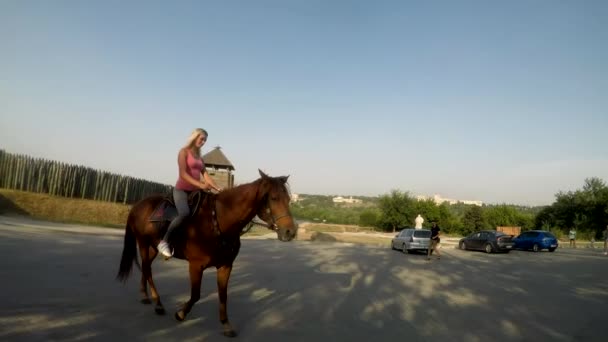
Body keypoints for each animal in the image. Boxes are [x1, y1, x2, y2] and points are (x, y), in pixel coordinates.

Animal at [116, 170, 296, 336]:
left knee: (146, 268)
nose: (290, 232)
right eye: (273, 198)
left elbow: (223, 295)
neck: (219, 221)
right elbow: (196, 294)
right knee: (147, 269)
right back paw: (158, 303)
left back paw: (145, 296)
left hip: (153, 247)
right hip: (143, 243)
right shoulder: (196, 266)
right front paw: (180, 313)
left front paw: (226, 324)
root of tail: (138, 205)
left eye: (288, 199)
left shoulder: (225, 266)